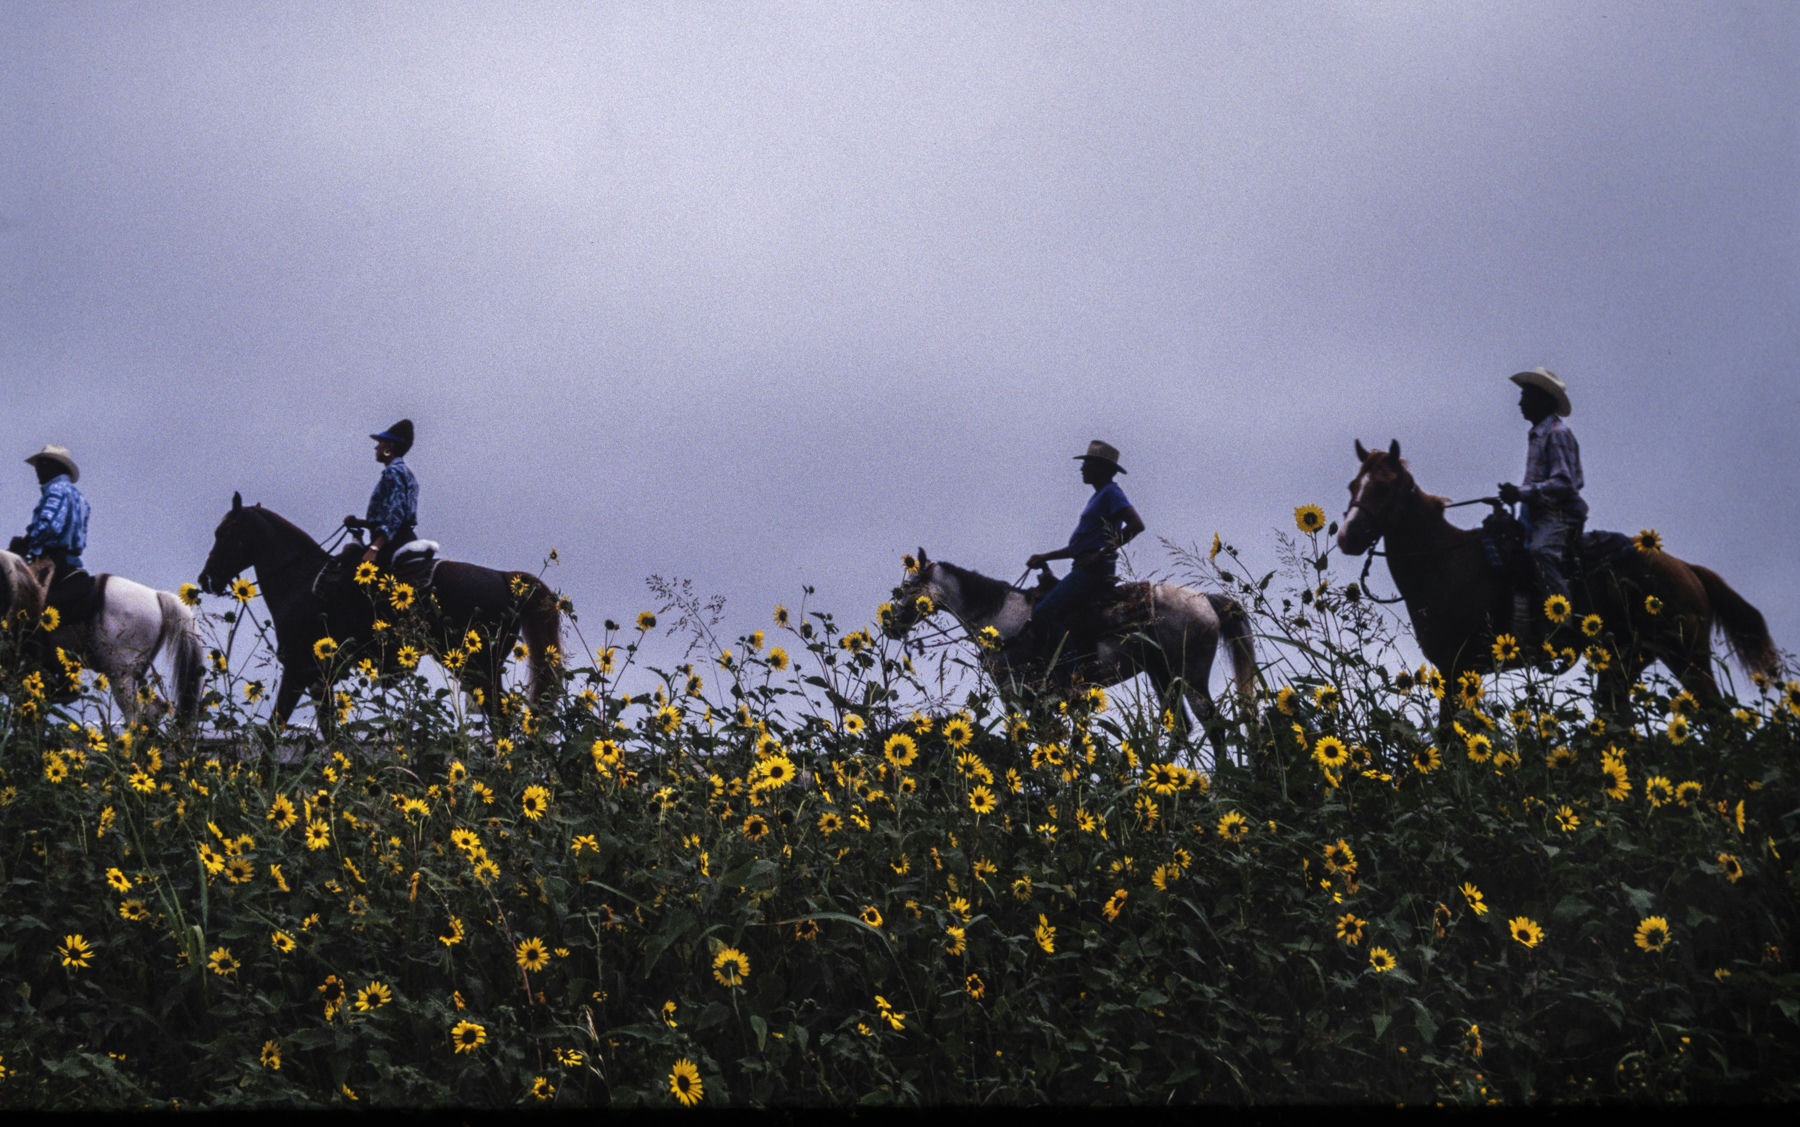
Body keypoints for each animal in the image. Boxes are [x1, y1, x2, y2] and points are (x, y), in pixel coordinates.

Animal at [196, 493, 561, 727]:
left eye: (223, 533)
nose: (206, 579)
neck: (301, 580)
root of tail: (505, 578)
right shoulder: (318, 680)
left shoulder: (300, 671)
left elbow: (273, 731)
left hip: (476, 667)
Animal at [882, 547, 1252, 763]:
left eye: (911, 587)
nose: (891, 626)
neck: (1002, 619)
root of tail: (1205, 600)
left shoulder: (1017, 692)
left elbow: (1026, 737)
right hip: (1161, 675)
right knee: (1182, 727)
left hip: (1190, 673)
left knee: (1213, 726)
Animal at [1339, 441, 1771, 709]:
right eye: (1352, 484)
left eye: (1385, 486)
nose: (1346, 537)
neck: (1445, 562)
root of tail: (1688, 569)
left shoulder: (1456, 666)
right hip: (1625, 664)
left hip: (1688, 659)